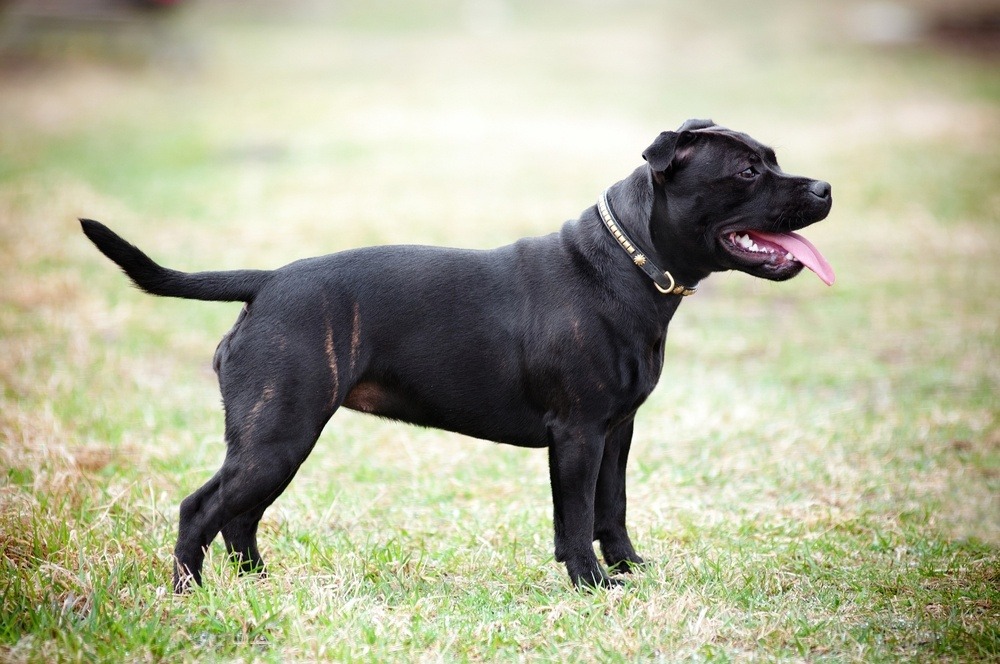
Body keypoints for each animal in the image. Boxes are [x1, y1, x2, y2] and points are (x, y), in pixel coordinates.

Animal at [78, 119, 832, 592]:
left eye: (771, 158)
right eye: (748, 170)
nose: (824, 188)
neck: (630, 260)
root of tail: (266, 282)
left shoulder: (617, 433)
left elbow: (611, 510)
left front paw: (629, 571)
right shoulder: (578, 436)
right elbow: (574, 519)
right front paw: (591, 586)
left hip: (275, 443)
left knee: (238, 516)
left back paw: (259, 586)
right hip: (277, 437)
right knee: (200, 510)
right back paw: (190, 595)